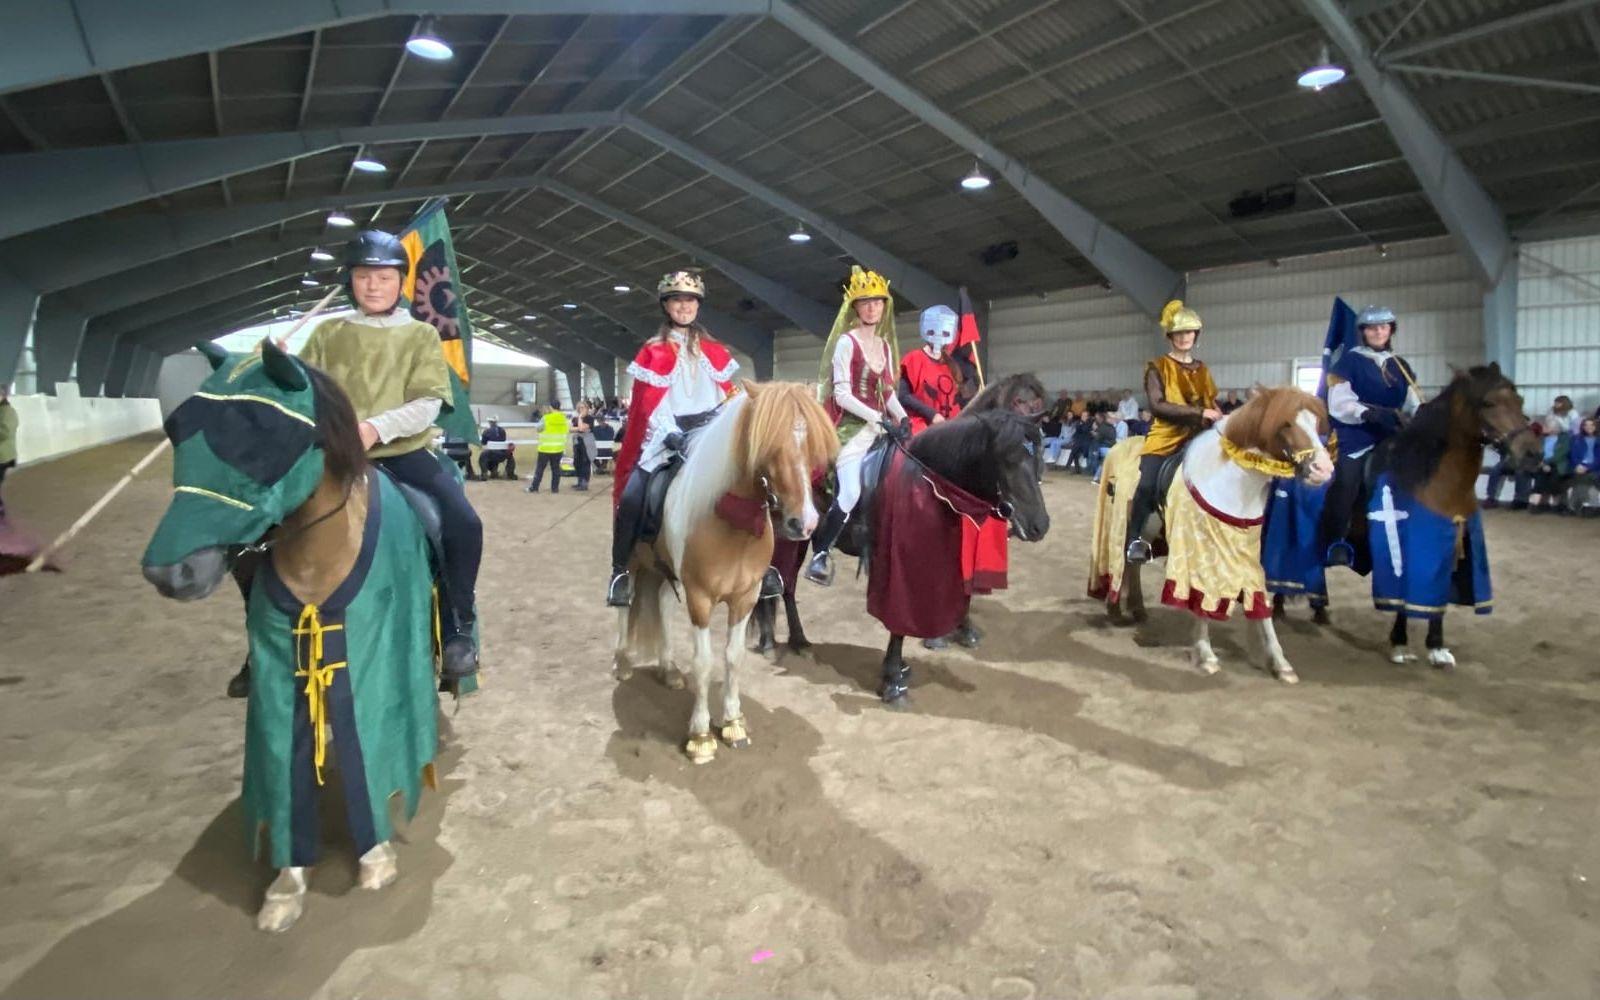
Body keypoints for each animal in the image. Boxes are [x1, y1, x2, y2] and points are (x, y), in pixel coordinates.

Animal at [141, 339, 448, 934]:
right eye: (178, 429)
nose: (169, 574)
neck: (319, 556)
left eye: (262, 438)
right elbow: (282, 765)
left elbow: (376, 747)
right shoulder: (280, 667)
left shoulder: (378, 660)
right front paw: (285, 887)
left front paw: (375, 857)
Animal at [611, 377, 838, 761]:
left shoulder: (745, 597)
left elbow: (734, 657)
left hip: (663, 569)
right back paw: (623, 662)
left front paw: (733, 723)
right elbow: (704, 662)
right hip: (631, 561)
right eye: (768, 444)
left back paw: (668, 670)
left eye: (810, 445)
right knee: (624, 602)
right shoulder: (700, 598)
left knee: (661, 602)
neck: (729, 524)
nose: (803, 523)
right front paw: (701, 736)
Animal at [1088, 385, 1337, 681]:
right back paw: (1115, 610)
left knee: (1131, 566)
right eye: (1285, 423)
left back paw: (1137, 609)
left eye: (1316, 423)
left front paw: (1280, 663)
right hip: (1120, 526)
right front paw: (1206, 655)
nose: (1323, 469)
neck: (1230, 482)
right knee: (1121, 562)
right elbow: (1200, 596)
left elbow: (1259, 600)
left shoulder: (1247, 553)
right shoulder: (1197, 551)